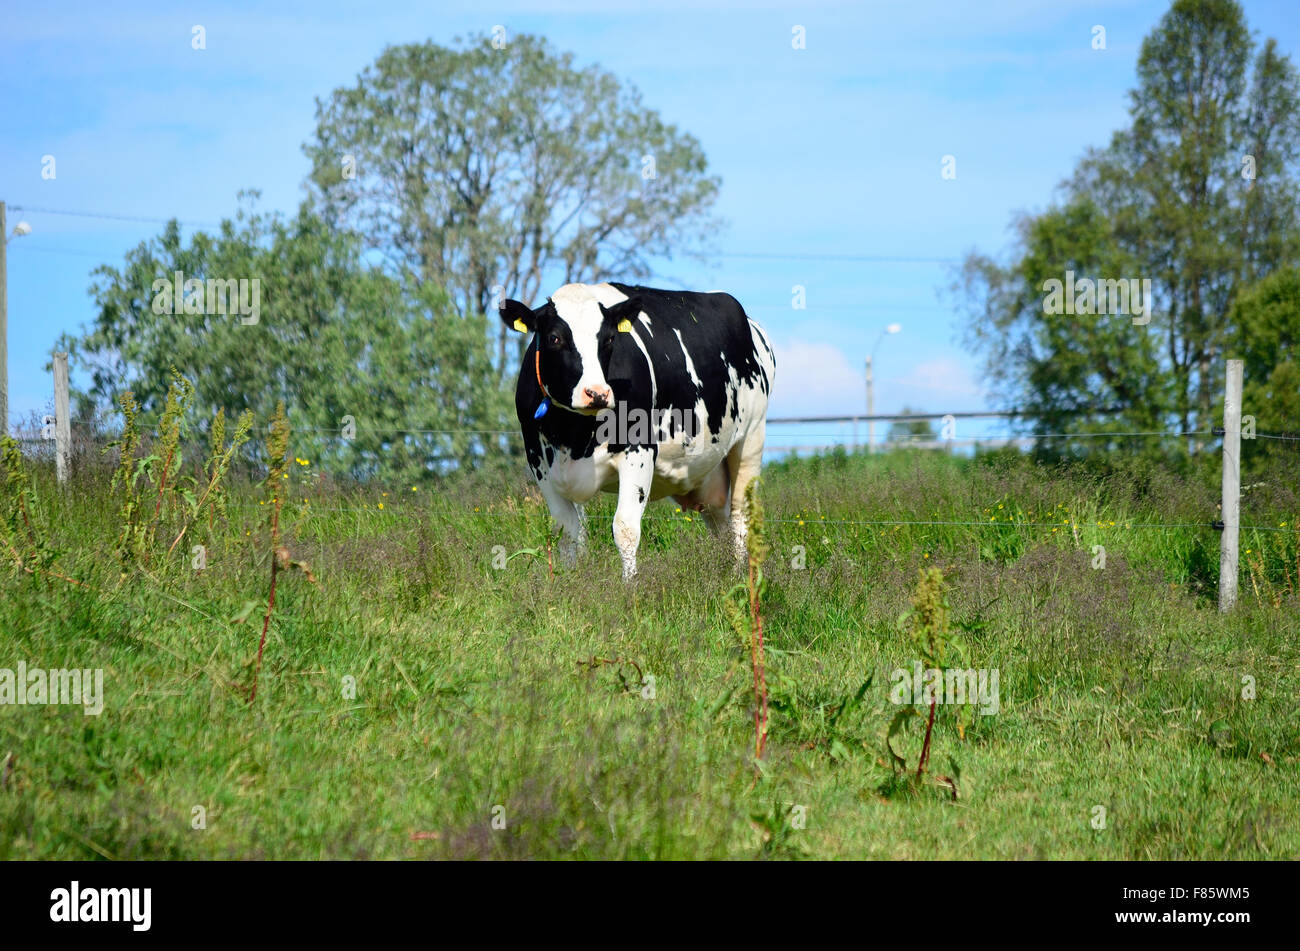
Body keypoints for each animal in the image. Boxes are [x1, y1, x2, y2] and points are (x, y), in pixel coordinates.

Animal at [500, 282, 776, 579]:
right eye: (554, 338)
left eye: (609, 339)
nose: (597, 393)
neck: (573, 433)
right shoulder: (538, 460)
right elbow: (568, 531)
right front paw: (570, 580)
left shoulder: (639, 449)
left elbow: (625, 528)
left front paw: (630, 585)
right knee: (720, 523)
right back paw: (726, 573)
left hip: (751, 438)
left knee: (740, 518)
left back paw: (742, 577)